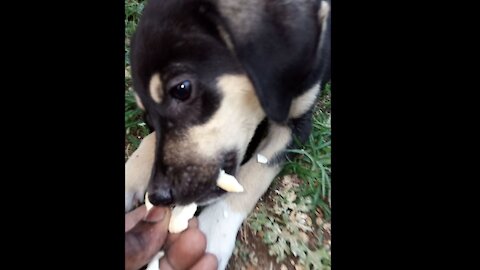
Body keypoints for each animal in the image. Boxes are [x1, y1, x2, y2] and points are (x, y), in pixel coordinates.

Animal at [125, 0, 332, 268]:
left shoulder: (296, 124)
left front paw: (212, 230)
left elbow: (255, 173)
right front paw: (130, 174)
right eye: (147, 118)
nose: (159, 197)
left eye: (182, 89)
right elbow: (153, 142)